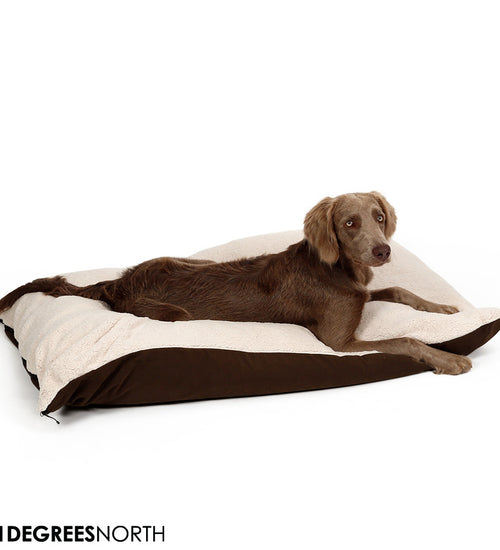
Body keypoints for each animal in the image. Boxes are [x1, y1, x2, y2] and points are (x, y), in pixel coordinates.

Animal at [0, 192, 471, 375]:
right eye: (349, 223)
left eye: (377, 216)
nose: (383, 251)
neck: (339, 269)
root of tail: (116, 283)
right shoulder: (336, 342)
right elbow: (405, 339)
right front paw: (448, 359)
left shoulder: (365, 293)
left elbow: (400, 291)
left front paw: (445, 308)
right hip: (174, 315)